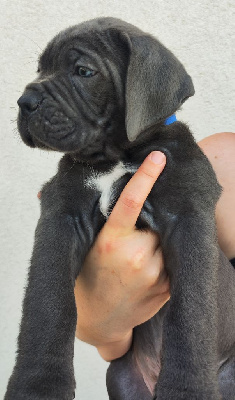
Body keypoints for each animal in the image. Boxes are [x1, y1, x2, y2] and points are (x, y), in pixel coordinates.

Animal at [4, 16, 235, 400]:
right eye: (40, 69)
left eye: (83, 71)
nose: (25, 101)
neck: (118, 155)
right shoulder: (61, 216)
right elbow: (47, 301)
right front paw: (38, 387)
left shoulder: (189, 217)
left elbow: (192, 313)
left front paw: (187, 389)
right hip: (122, 375)